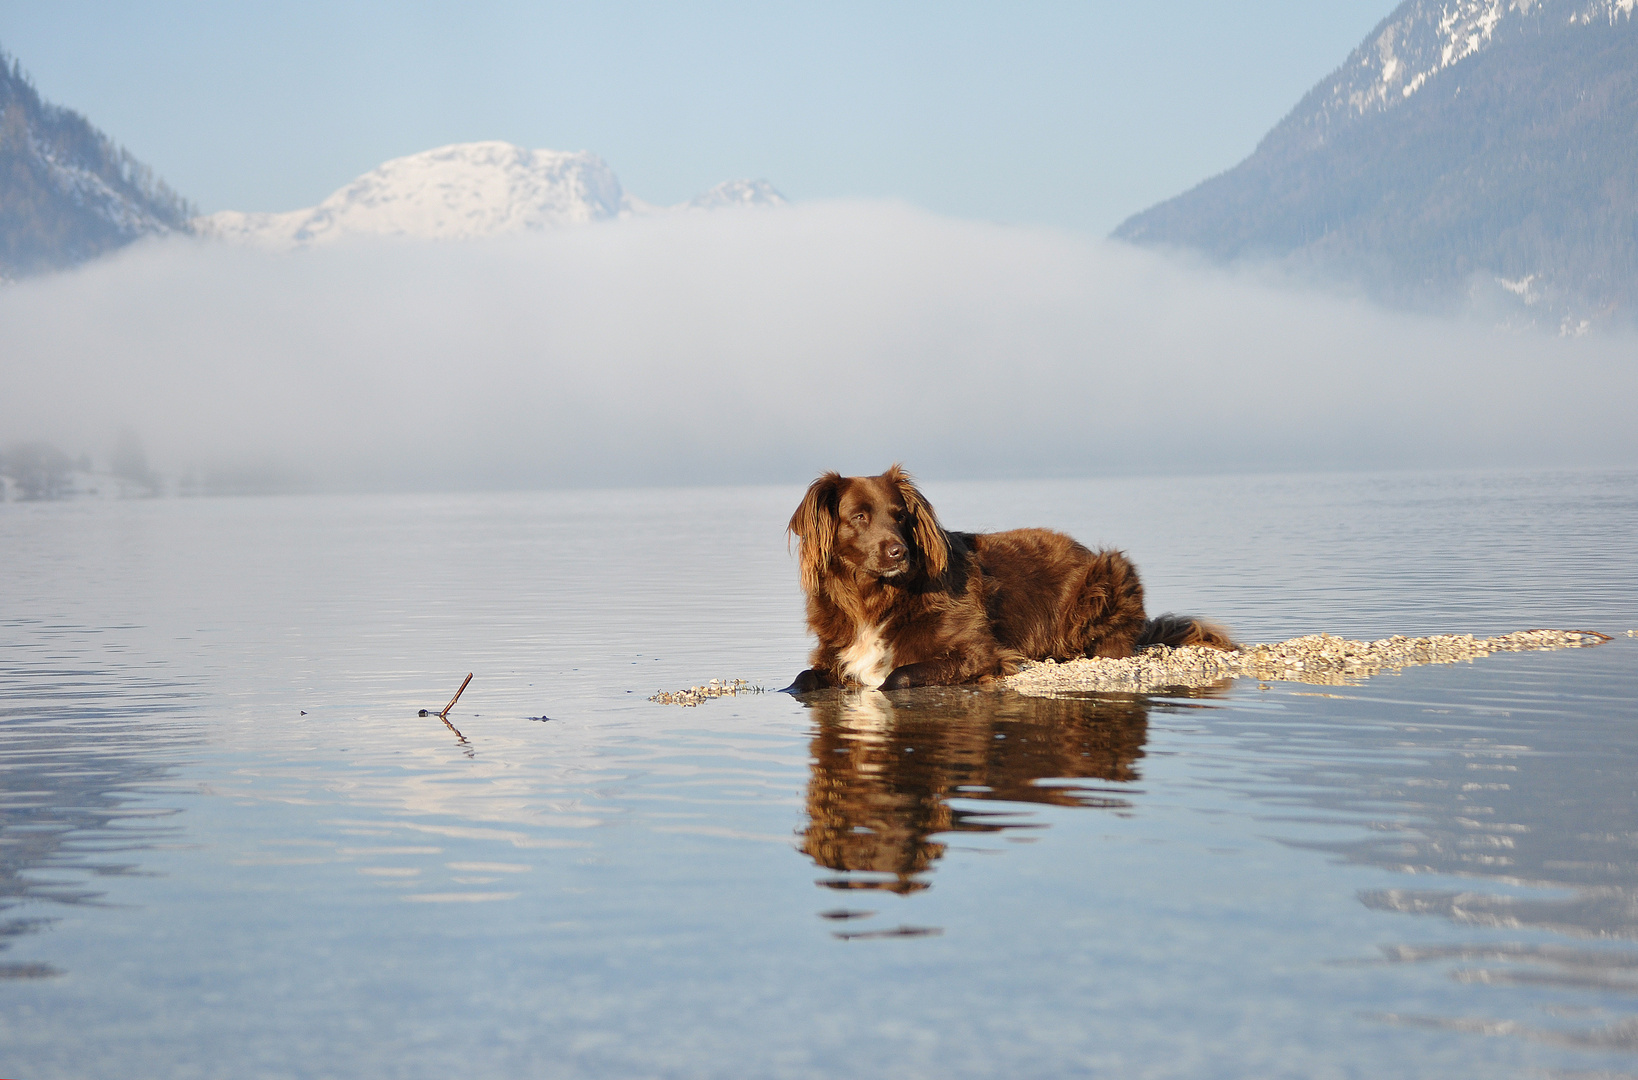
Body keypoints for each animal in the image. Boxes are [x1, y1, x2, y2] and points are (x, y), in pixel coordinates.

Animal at [779, 465, 1231, 691]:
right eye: (859, 517)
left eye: (901, 516)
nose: (899, 552)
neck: (874, 598)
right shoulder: (834, 652)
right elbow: (802, 679)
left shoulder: (979, 652)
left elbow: (896, 676)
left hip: (1109, 573)